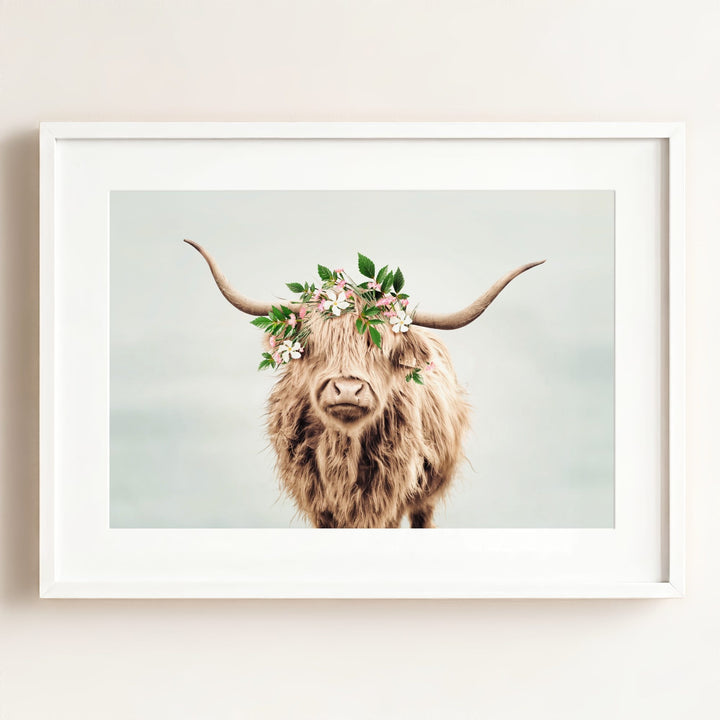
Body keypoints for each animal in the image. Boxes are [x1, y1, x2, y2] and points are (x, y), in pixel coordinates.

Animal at [184, 239, 543, 528]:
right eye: (315, 345)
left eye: (381, 347)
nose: (347, 389)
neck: (343, 453)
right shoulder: (319, 505)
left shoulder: (387, 501)